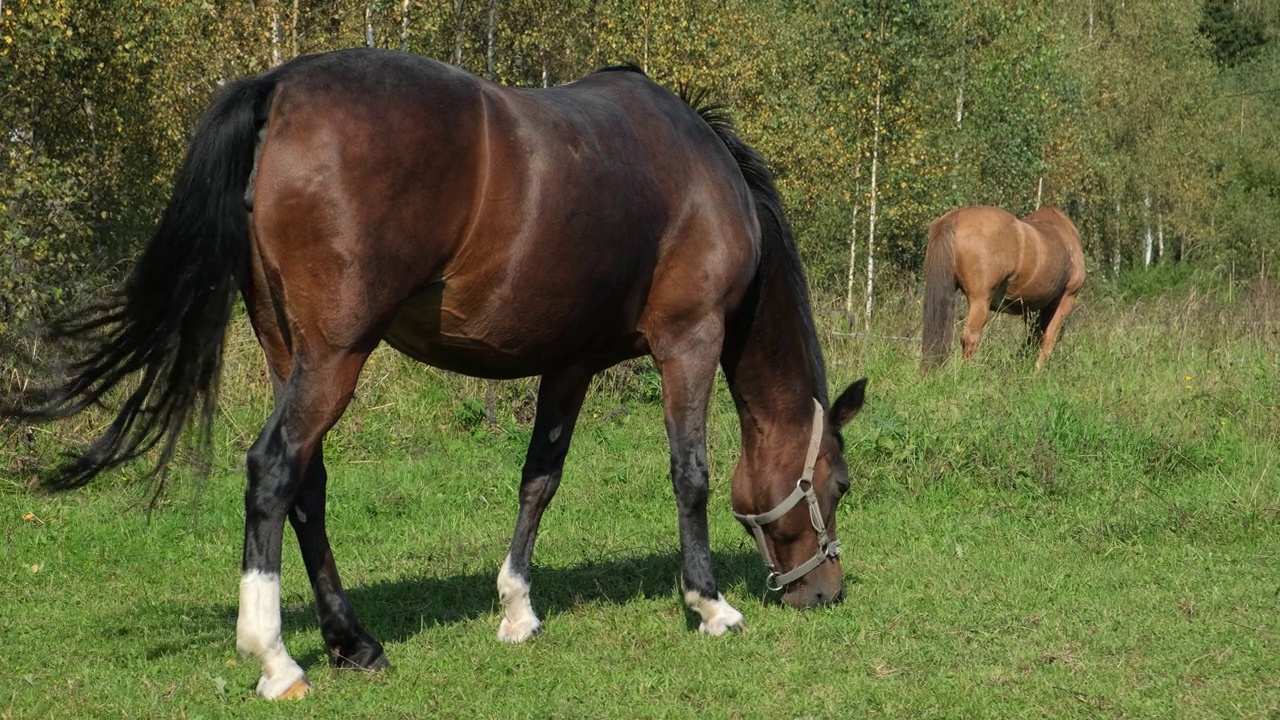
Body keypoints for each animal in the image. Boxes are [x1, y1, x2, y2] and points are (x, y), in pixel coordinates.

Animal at [5, 49, 865, 696]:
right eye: (839, 483)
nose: (826, 593)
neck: (702, 175)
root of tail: (279, 89)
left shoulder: (571, 361)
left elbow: (539, 478)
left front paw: (517, 610)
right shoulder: (688, 339)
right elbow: (690, 474)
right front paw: (710, 605)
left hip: (291, 351)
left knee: (307, 484)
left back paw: (353, 641)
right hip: (336, 356)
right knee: (274, 469)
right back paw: (278, 658)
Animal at [916, 203, 1085, 366]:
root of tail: (955, 218)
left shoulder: (1031, 308)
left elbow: (1033, 339)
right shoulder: (1066, 299)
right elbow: (1048, 339)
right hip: (980, 301)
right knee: (970, 338)